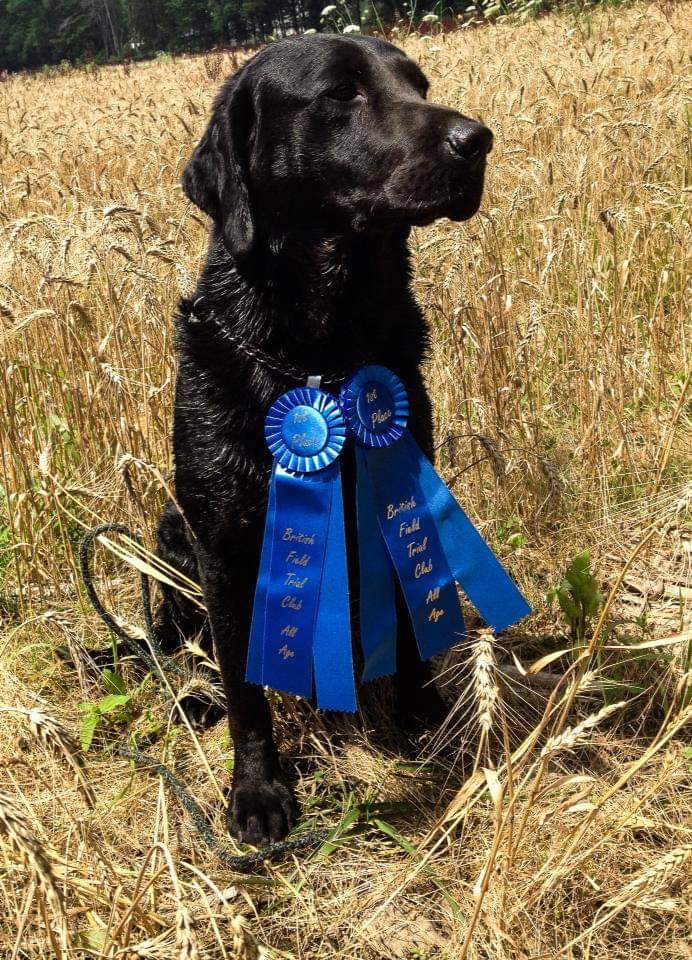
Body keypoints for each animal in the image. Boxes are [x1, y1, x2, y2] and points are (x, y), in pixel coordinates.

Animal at [157, 33, 492, 844]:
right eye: (341, 92)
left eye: (419, 84)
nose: (478, 141)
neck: (319, 351)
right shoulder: (223, 544)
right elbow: (246, 688)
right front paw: (257, 790)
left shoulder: (397, 494)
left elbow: (407, 625)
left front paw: (422, 716)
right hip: (169, 534)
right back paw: (193, 697)